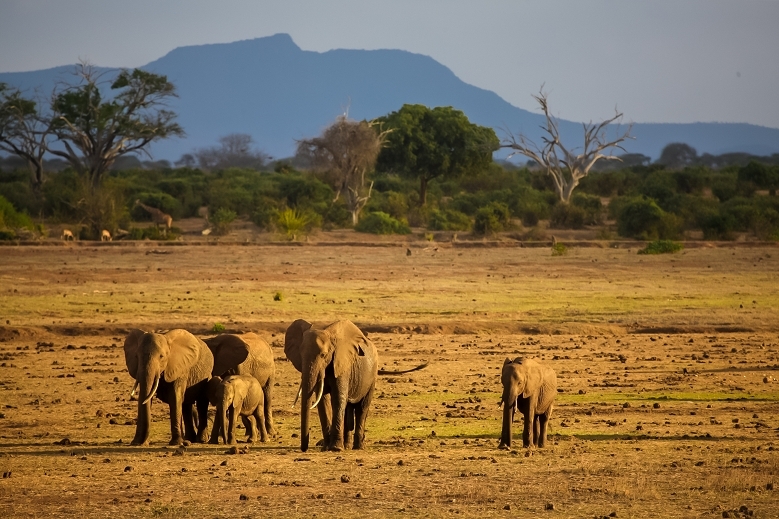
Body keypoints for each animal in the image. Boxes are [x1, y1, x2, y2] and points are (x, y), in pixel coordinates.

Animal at [284, 318, 432, 452]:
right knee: (348, 407)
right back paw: (347, 446)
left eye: (323, 355)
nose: (304, 448)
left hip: (372, 377)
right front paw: (327, 448)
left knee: (361, 408)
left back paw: (358, 447)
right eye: (300, 355)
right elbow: (322, 401)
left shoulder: (343, 364)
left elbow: (338, 399)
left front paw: (335, 449)